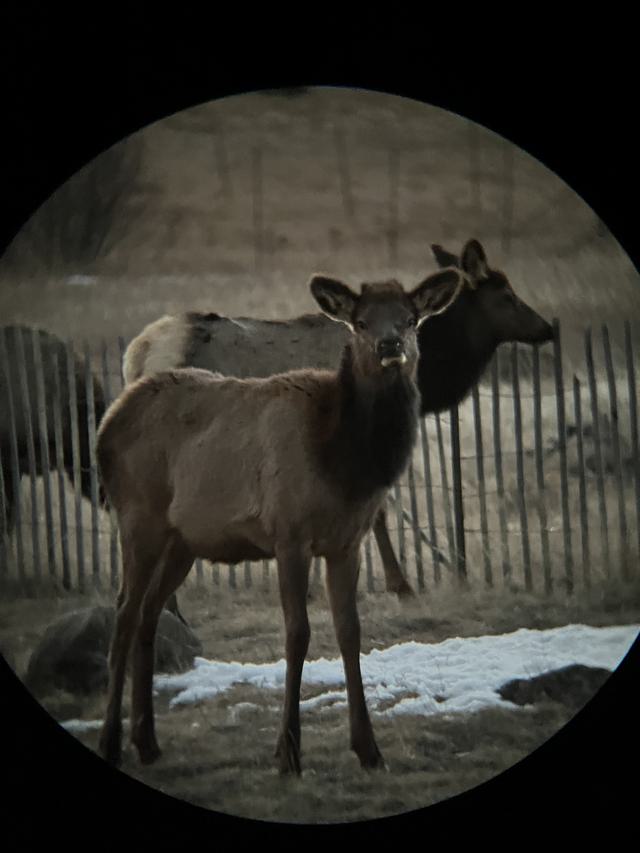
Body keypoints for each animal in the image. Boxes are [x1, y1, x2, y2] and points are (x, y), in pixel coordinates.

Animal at [96, 267, 465, 774]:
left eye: (410, 319)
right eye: (361, 322)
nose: (391, 345)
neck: (343, 463)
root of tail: (106, 426)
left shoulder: (346, 542)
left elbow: (351, 632)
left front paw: (368, 748)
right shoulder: (289, 533)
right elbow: (298, 634)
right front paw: (288, 750)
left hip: (182, 540)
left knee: (150, 614)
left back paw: (148, 741)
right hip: (138, 517)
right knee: (125, 614)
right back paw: (112, 741)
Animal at [123, 239, 554, 602]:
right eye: (507, 295)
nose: (547, 327)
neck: (429, 377)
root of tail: (139, 349)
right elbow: (377, 511)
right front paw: (400, 585)